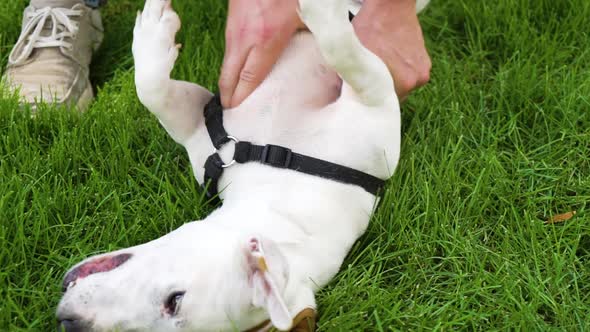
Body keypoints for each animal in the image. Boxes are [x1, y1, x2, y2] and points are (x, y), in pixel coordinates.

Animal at [57, 0, 430, 330]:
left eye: (175, 300)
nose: (68, 323)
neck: (280, 190)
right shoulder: (199, 122)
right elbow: (151, 89)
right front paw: (153, 32)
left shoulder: (374, 105)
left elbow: (345, 50)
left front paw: (321, 10)